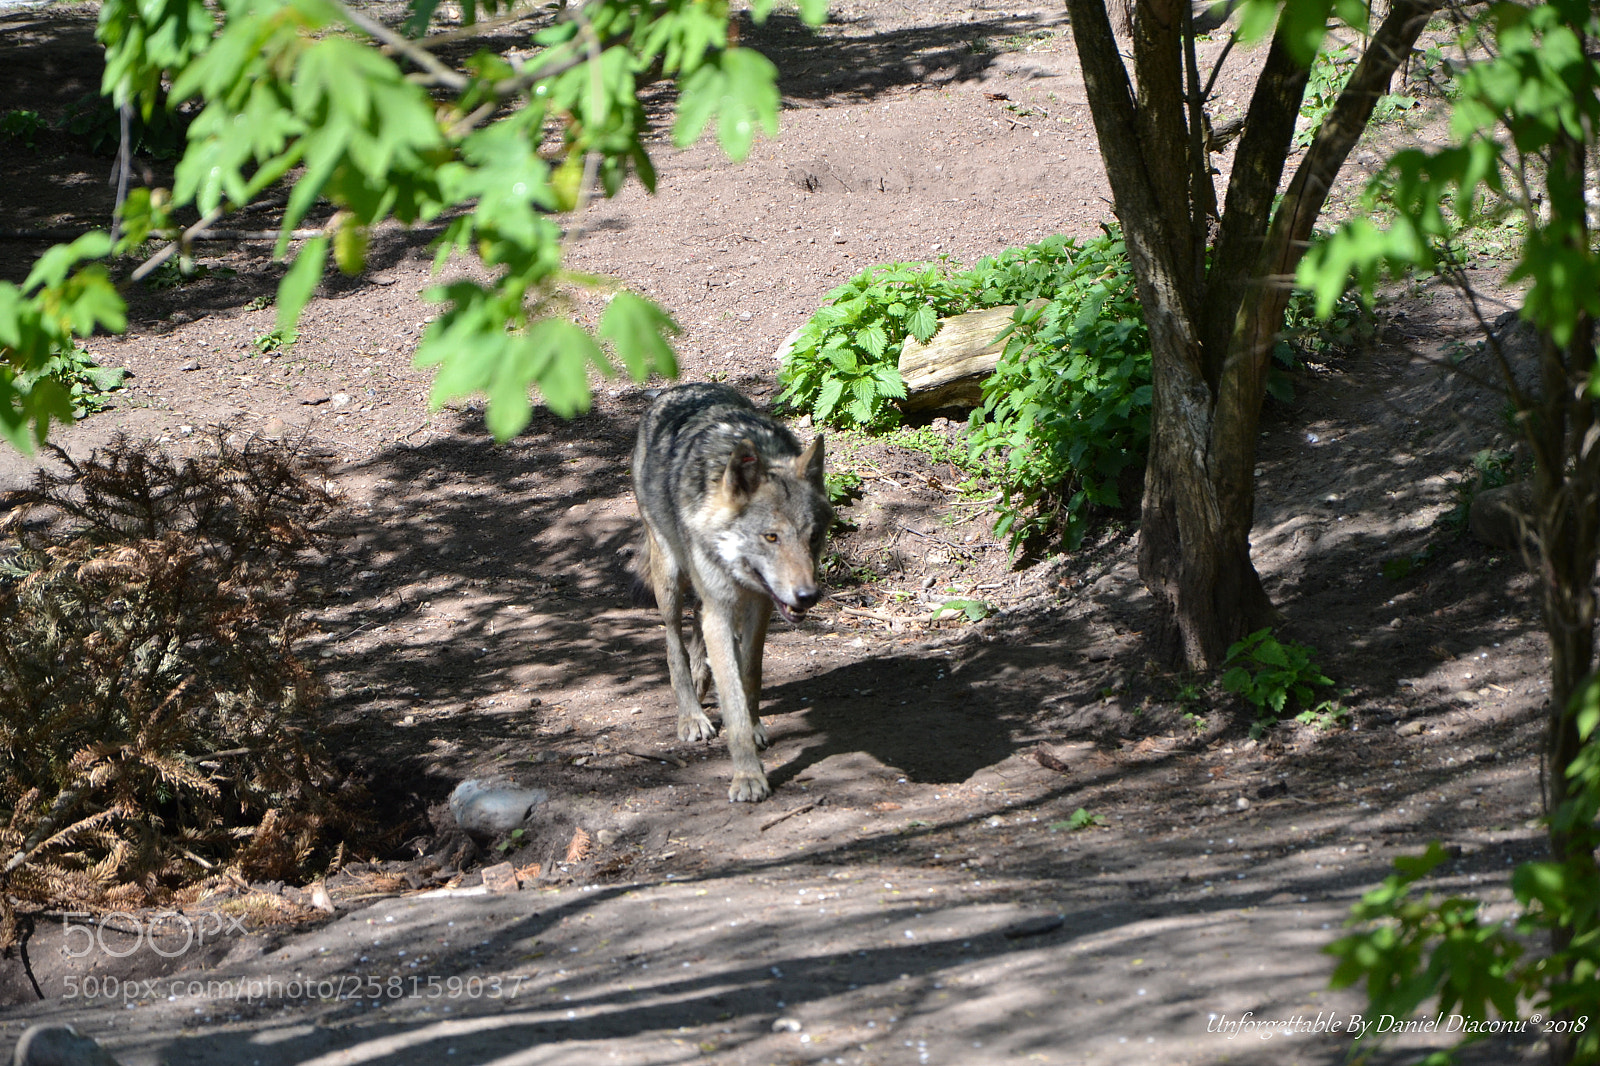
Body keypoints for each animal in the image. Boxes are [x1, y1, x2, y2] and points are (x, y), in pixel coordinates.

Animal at [632, 383, 833, 802]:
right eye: (771, 537)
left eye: (813, 537)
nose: (807, 596)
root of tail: (674, 389)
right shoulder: (722, 610)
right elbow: (733, 696)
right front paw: (748, 776)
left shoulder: (760, 606)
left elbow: (749, 674)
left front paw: (754, 727)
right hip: (670, 579)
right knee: (674, 644)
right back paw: (691, 715)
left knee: (698, 627)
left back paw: (701, 679)